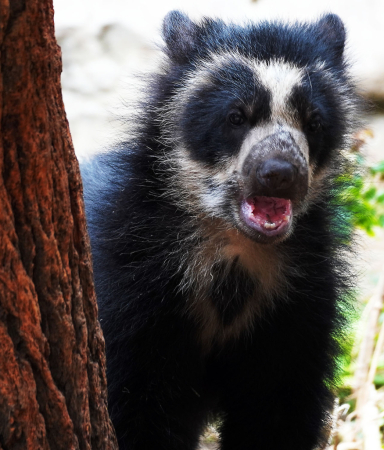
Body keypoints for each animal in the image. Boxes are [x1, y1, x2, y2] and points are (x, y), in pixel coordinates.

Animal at [80, 12, 360, 450]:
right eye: (236, 117)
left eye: (314, 123)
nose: (281, 173)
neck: (233, 247)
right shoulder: (129, 278)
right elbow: (132, 397)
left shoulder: (300, 298)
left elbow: (279, 408)